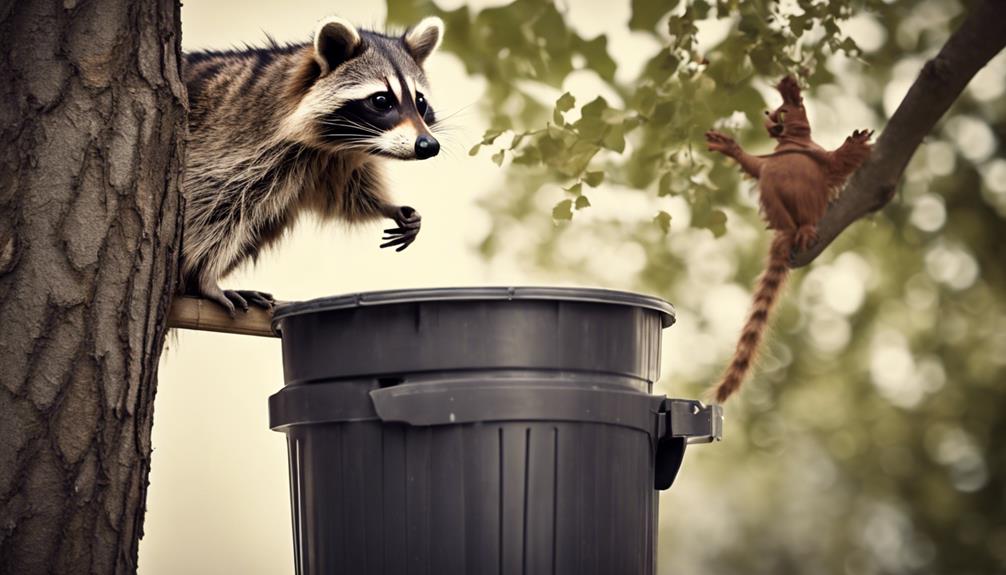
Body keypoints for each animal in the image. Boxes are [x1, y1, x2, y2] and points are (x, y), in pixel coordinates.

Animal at [180, 15, 444, 313]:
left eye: (420, 101)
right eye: (381, 100)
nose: (428, 145)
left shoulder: (328, 160)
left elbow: (344, 194)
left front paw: (386, 206)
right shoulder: (231, 146)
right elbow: (210, 208)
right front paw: (205, 276)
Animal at [704, 75, 877, 400]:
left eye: (782, 111)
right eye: (771, 112)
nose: (769, 119)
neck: (791, 143)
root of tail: (787, 231)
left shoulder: (820, 157)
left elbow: (837, 161)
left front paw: (855, 144)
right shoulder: (767, 162)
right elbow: (754, 165)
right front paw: (729, 147)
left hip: (810, 203)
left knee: (804, 208)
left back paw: (806, 228)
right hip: (776, 201)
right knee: (770, 187)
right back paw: (790, 230)